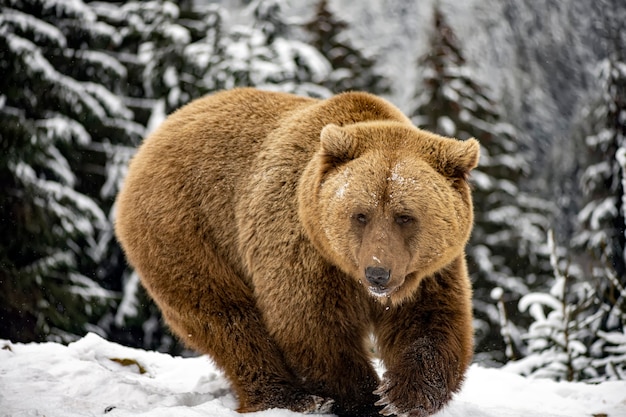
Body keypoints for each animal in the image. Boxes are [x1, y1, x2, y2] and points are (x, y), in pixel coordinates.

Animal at [113, 88, 478, 416]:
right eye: (361, 214)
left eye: (405, 216)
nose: (378, 273)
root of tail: (152, 140)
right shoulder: (303, 248)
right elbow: (311, 325)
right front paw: (363, 398)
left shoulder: (429, 270)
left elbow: (430, 321)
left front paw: (400, 396)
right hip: (187, 231)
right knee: (227, 318)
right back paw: (290, 397)